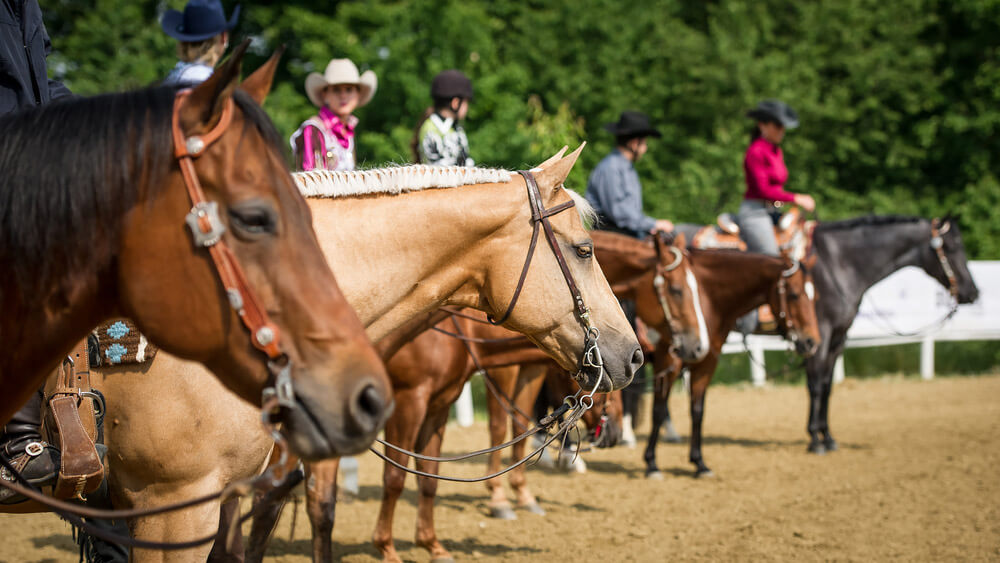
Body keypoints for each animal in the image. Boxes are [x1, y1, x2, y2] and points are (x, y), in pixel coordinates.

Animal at [640, 249, 820, 478]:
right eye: (794, 295)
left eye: (816, 296)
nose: (812, 342)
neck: (706, 300)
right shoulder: (667, 361)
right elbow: (658, 410)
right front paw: (651, 463)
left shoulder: (706, 364)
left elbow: (697, 411)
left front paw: (699, 463)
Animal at [804, 215, 976, 454]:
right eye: (951, 247)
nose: (973, 291)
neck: (837, 265)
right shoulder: (819, 335)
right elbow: (816, 386)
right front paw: (814, 439)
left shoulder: (838, 337)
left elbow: (827, 386)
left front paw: (827, 437)